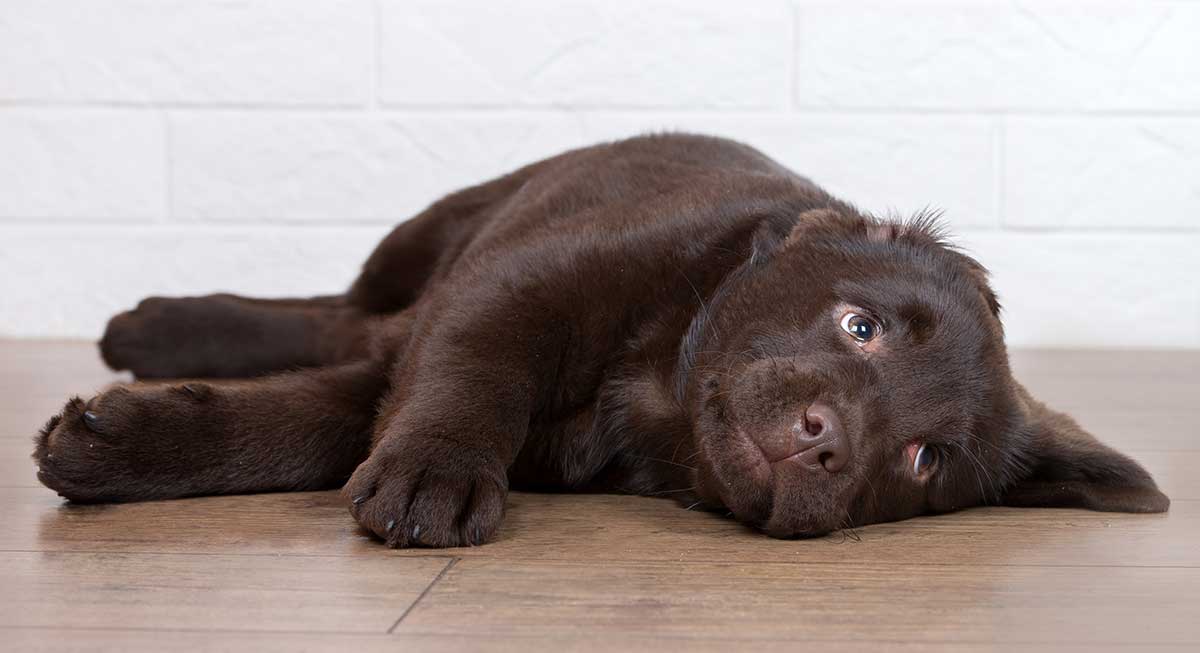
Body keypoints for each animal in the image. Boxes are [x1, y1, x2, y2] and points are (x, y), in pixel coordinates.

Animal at [32, 132, 1166, 544]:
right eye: (862, 326)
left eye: (925, 459)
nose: (825, 440)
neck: (656, 398)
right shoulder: (508, 287)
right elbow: (473, 374)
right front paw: (438, 472)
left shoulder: (394, 368)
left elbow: (299, 423)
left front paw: (116, 443)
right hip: (440, 229)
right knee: (340, 309)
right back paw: (151, 325)